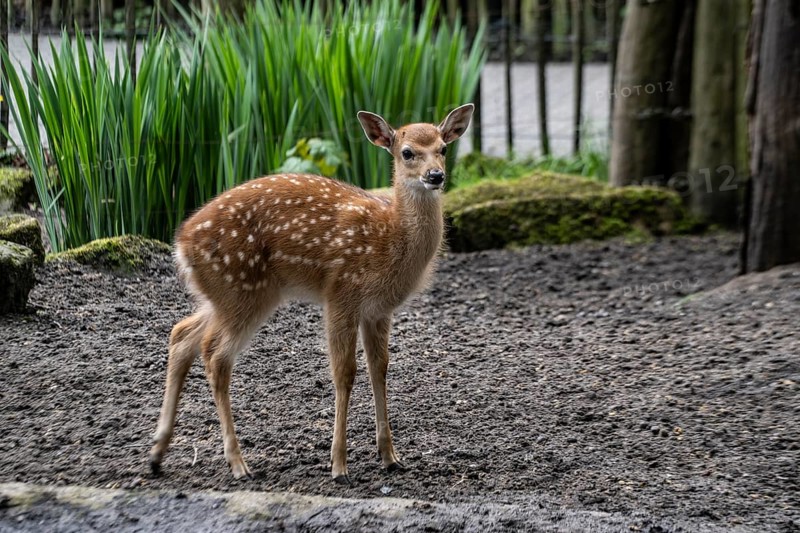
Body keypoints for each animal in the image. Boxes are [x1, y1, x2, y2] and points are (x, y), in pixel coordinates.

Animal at [149, 104, 474, 485]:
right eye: (407, 153)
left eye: (444, 148)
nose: (435, 176)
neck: (389, 238)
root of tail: (181, 244)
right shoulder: (341, 293)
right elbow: (344, 373)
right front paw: (339, 465)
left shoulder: (378, 309)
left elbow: (379, 368)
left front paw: (390, 456)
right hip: (242, 289)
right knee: (215, 355)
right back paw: (239, 464)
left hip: (228, 295)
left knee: (181, 334)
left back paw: (157, 454)